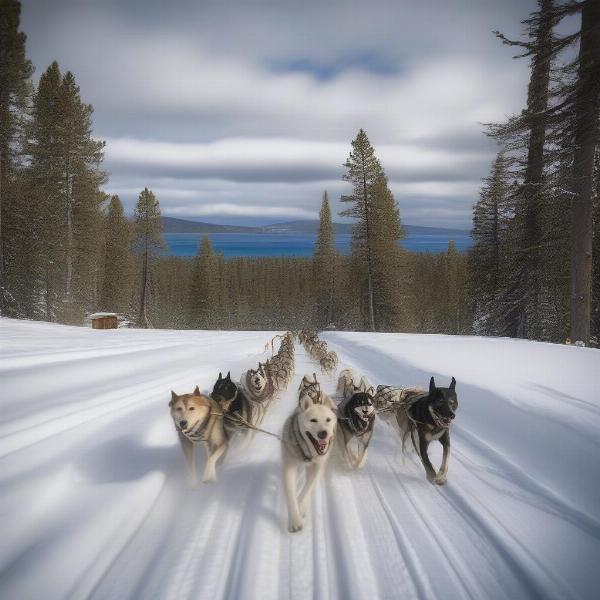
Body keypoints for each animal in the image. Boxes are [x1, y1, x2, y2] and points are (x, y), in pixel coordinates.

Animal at [282, 394, 338, 536]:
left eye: (328, 420)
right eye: (313, 420)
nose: (323, 433)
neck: (308, 453)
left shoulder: (317, 467)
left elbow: (308, 488)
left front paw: (301, 506)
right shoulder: (289, 467)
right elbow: (290, 494)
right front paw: (294, 520)